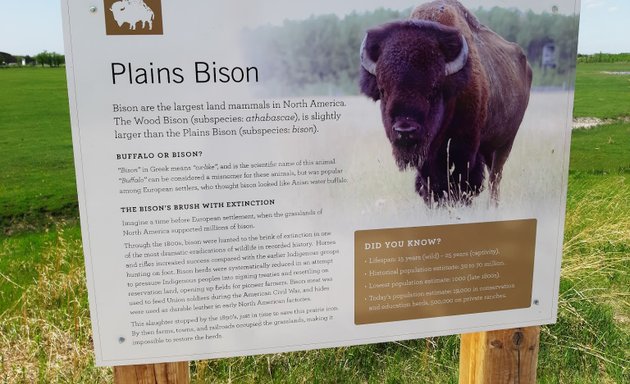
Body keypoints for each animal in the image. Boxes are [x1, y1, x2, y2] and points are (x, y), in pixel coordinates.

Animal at [360, 0, 532, 206]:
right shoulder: (428, 158)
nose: (405, 130)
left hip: (505, 143)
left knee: (495, 178)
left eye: (434, 90)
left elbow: (462, 182)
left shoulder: (465, 149)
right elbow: (432, 183)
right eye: (383, 90)